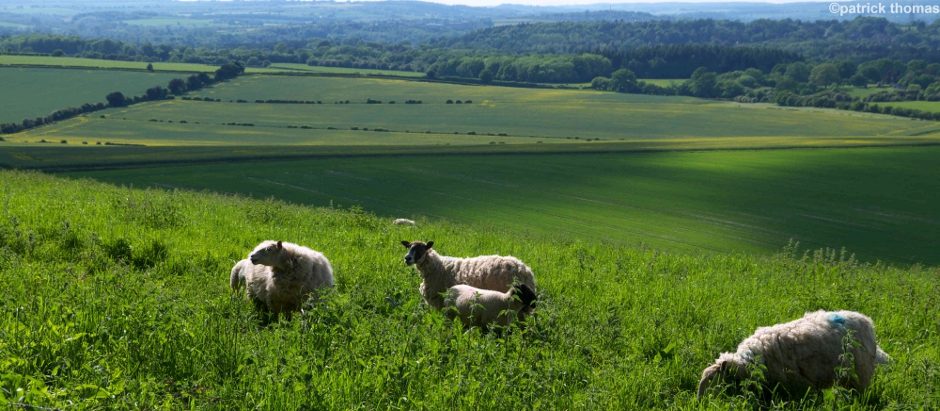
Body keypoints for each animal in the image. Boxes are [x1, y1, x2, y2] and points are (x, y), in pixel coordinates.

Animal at [400, 240, 537, 310]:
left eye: (421, 249)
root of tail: (525, 270)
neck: (437, 266)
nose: (407, 258)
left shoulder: (439, 301)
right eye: (409, 247)